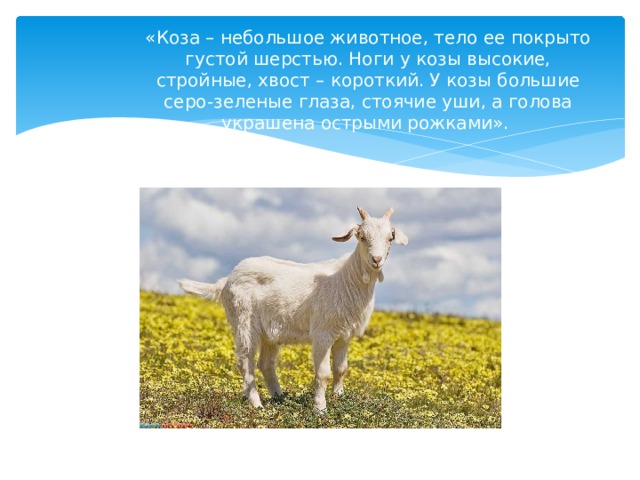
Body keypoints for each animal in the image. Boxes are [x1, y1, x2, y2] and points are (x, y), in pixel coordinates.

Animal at [178, 206, 408, 412]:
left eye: (390, 238)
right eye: (361, 236)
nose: (376, 260)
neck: (345, 278)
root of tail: (226, 280)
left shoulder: (344, 335)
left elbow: (341, 369)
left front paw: (338, 398)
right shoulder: (322, 333)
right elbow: (323, 373)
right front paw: (320, 409)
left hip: (269, 333)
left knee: (266, 364)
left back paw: (279, 398)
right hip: (243, 321)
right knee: (246, 361)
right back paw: (257, 404)